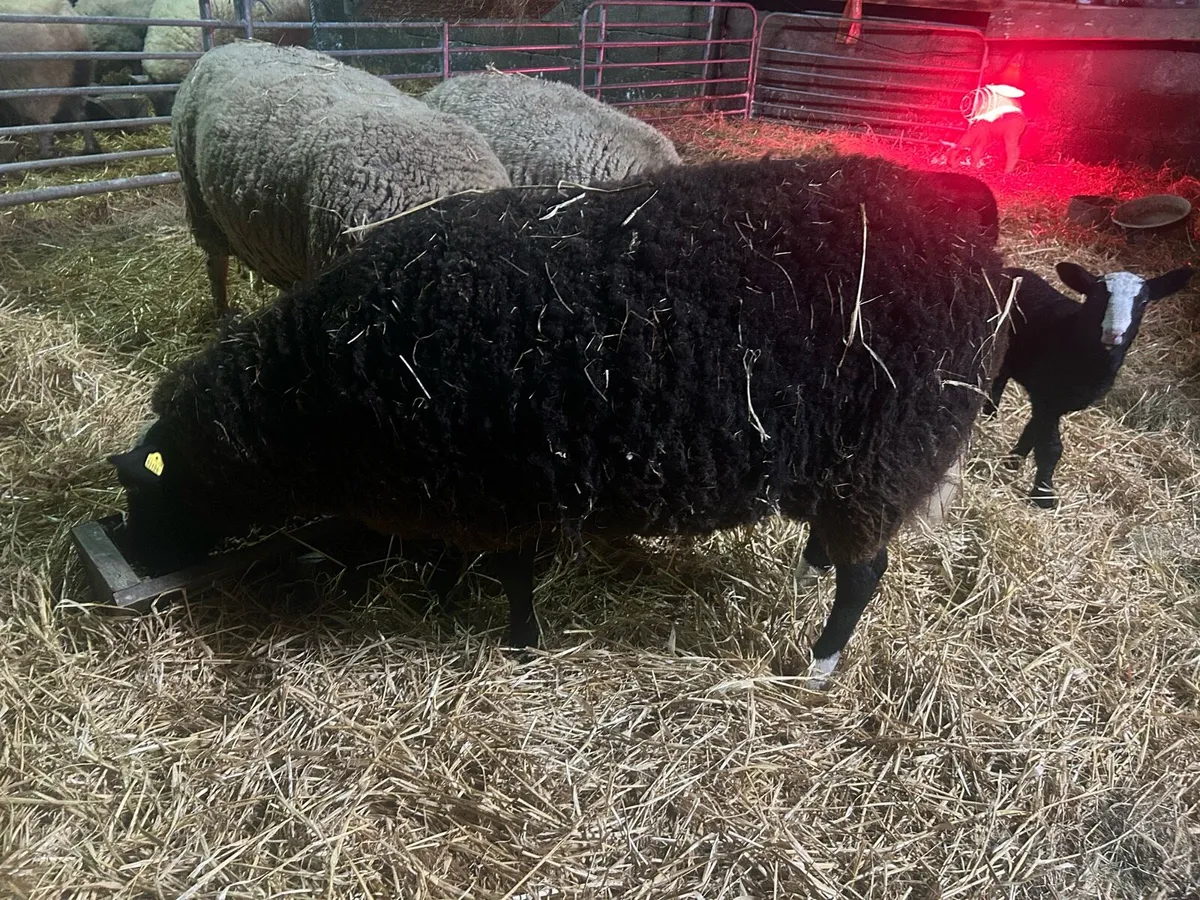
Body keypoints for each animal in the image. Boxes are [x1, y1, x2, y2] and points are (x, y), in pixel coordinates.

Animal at [0, 0, 98, 157]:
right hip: (80, 77)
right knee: (81, 115)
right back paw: (90, 148)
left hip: (38, 84)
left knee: (45, 123)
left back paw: (45, 154)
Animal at [109, 153, 1004, 685]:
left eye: (152, 492)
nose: (140, 558)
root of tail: (967, 218)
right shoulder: (460, 487)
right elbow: (453, 555)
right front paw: (442, 598)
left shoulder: (504, 491)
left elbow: (511, 574)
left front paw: (517, 640)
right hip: (852, 463)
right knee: (841, 549)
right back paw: (806, 573)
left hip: (889, 452)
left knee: (866, 575)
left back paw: (817, 664)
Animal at [985, 262, 1194, 508]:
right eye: (1095, 296)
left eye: (1143, 302)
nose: (1114, 334)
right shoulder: (1046, 397)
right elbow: (1050, 447)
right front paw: (1043, 495)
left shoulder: (1054, 402)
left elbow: (1032, 431)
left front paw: (1013, 462)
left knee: (999, 380)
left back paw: (990, 418)